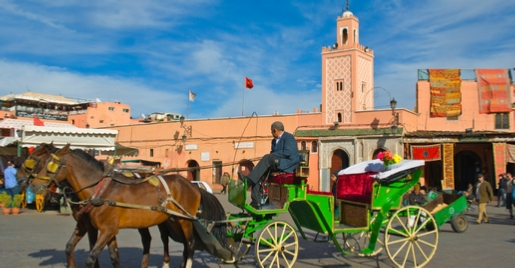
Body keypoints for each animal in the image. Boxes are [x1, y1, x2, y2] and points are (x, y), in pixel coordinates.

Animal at [17, 144, 171, 268]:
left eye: (33, 159)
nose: (19, 177)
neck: (97, 190)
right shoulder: (84, 223)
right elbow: (70, 247)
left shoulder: (95, 226)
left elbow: (93, 249)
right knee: (147, 239)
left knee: (164, 238)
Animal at [34, 144, 232, 268]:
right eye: (38, 163)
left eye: (50, 165)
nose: (34, 185)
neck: (101, 191)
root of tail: (192, 185)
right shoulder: (105, 229)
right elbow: (111, 256)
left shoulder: (106, 229)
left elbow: (91, 259)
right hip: (172, 219)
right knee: (178, 243)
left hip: (185, 220)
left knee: (190, 245)